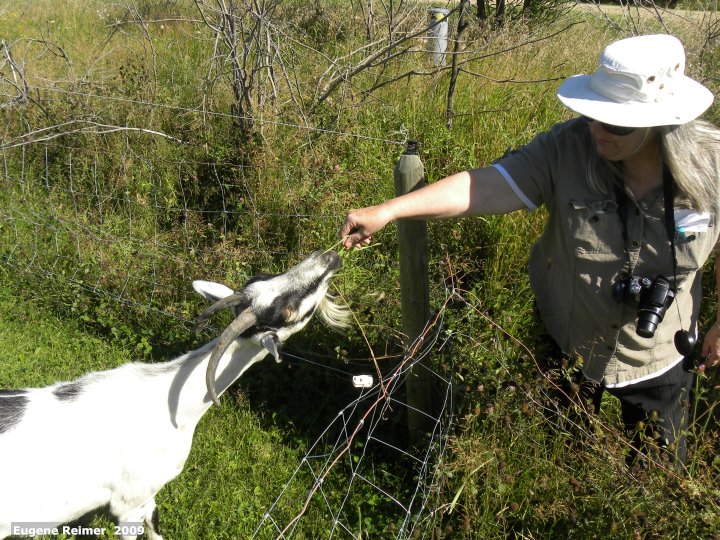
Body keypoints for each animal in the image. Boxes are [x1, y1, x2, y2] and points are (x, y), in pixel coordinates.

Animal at [0, 250, 348, 540]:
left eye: (267, 275)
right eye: (287, 310)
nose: (329, 257)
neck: (170, 407)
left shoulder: (150, 491)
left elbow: (155, 524)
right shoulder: (128, 502)